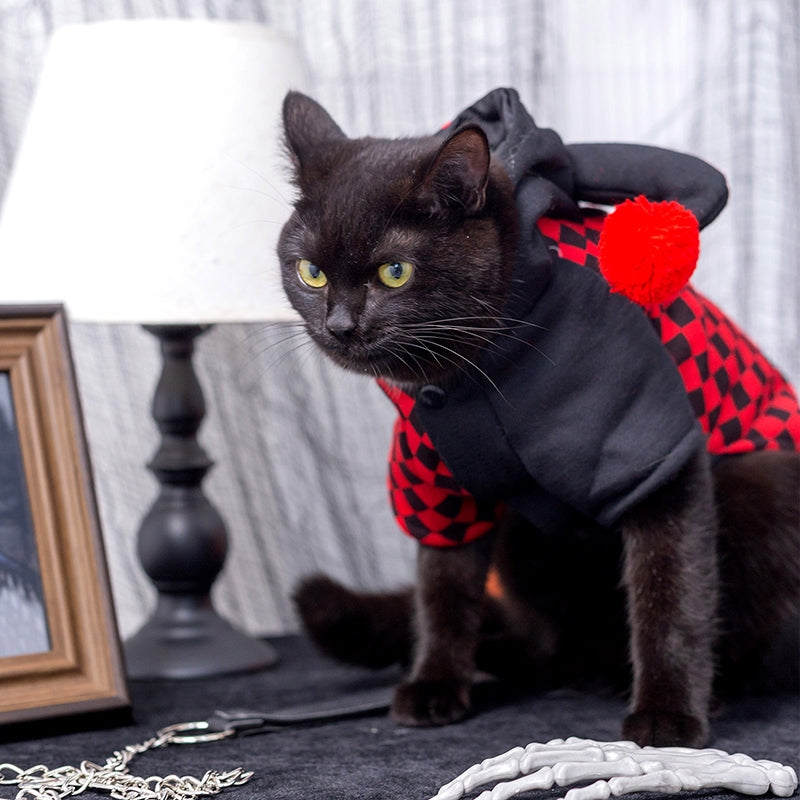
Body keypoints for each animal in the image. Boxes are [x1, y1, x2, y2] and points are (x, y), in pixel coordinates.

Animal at [276, 89, 800, 752]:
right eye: (310, 272)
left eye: (395, 272)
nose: (340, 325)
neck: (472, 373)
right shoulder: (439, 490)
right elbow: (442, 589)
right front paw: (435, 683)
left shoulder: (654, 461)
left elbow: (671, 589)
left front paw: (667, 713)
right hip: (524, 545)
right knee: (545, 648)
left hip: (761, 485)